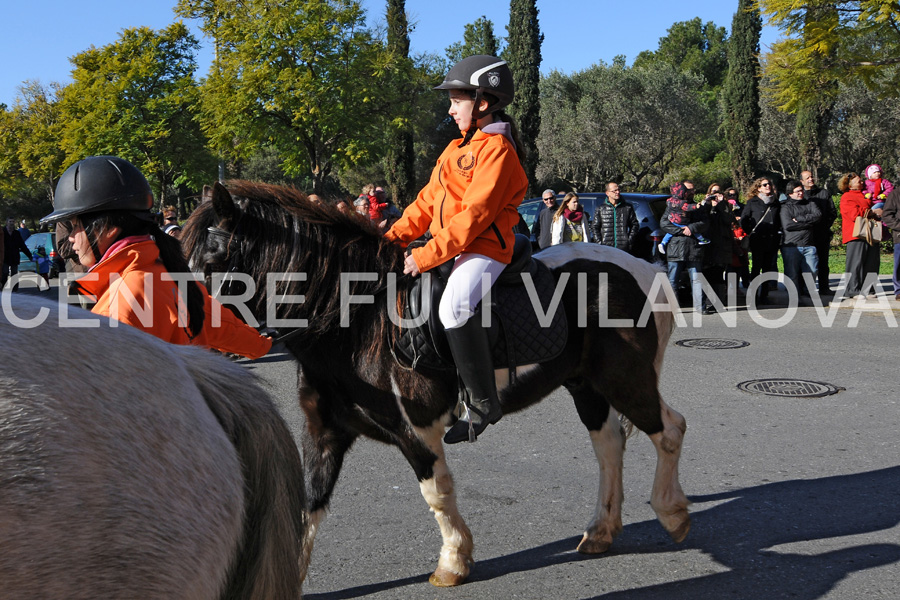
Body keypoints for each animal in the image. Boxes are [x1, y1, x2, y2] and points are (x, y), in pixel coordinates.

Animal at [181, 180, 688, 588]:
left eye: (213, 256)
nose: (181, 328)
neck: (357, 319)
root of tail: (646, 270)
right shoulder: (323, 433)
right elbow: (306, 506)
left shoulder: (418, 429)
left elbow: (437, 494)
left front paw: (453, 562)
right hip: (587, 386)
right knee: (610, 444)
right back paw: (601, 530)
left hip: (626, 380)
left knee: (669, 430)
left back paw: (672, 512)